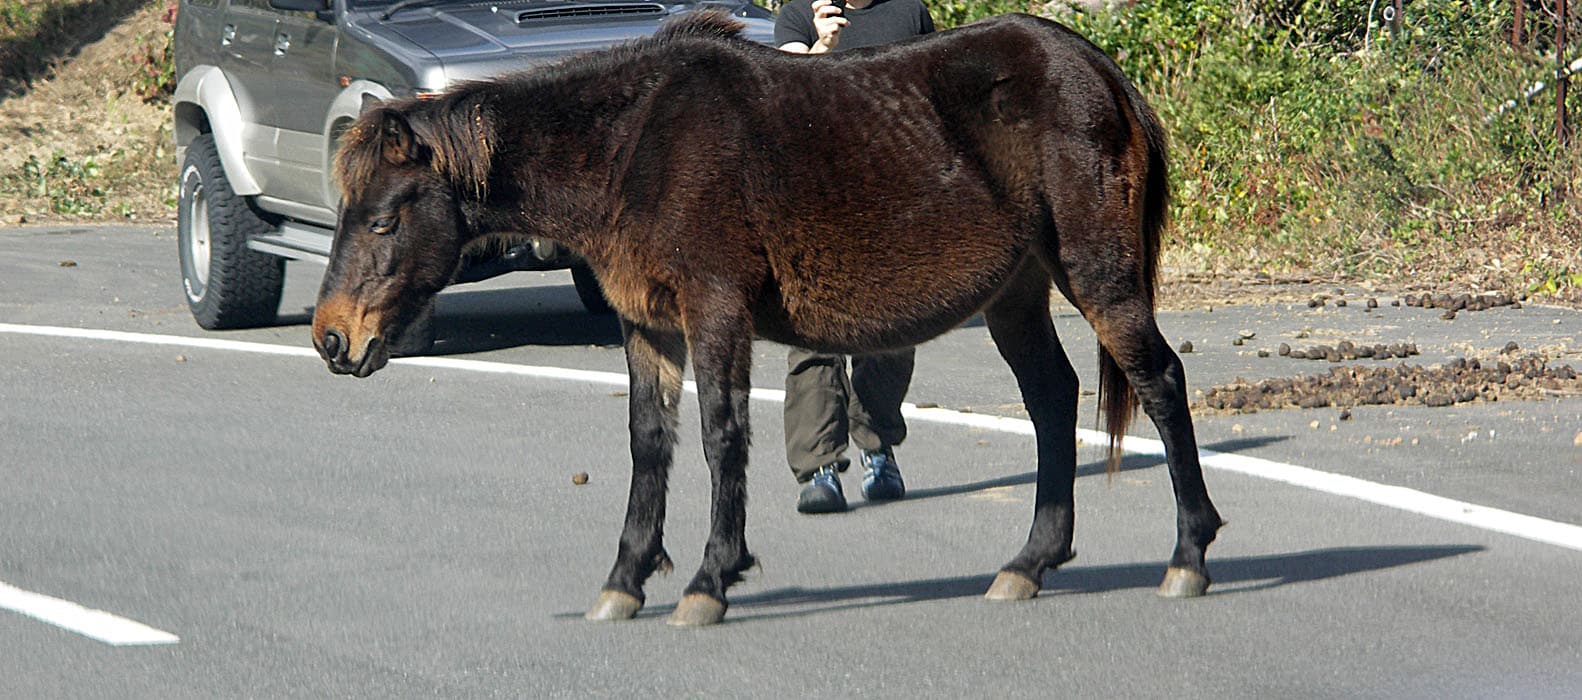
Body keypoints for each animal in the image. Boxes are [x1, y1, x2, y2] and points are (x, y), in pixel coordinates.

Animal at [311, 10, 1222, 626]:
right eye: (345, 210)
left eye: (384, 220)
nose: (331, 336)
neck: (634, 146)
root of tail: (1101, 71)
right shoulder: (648, 326)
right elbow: (650, 444)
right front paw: (626, 578)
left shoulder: (716, 310)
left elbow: (723, 437)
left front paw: (711, 579)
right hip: (1018, 295)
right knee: (1052, 399)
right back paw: (1031, 562)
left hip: (1096, 274)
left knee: (1160, 381)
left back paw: (1188, 554)